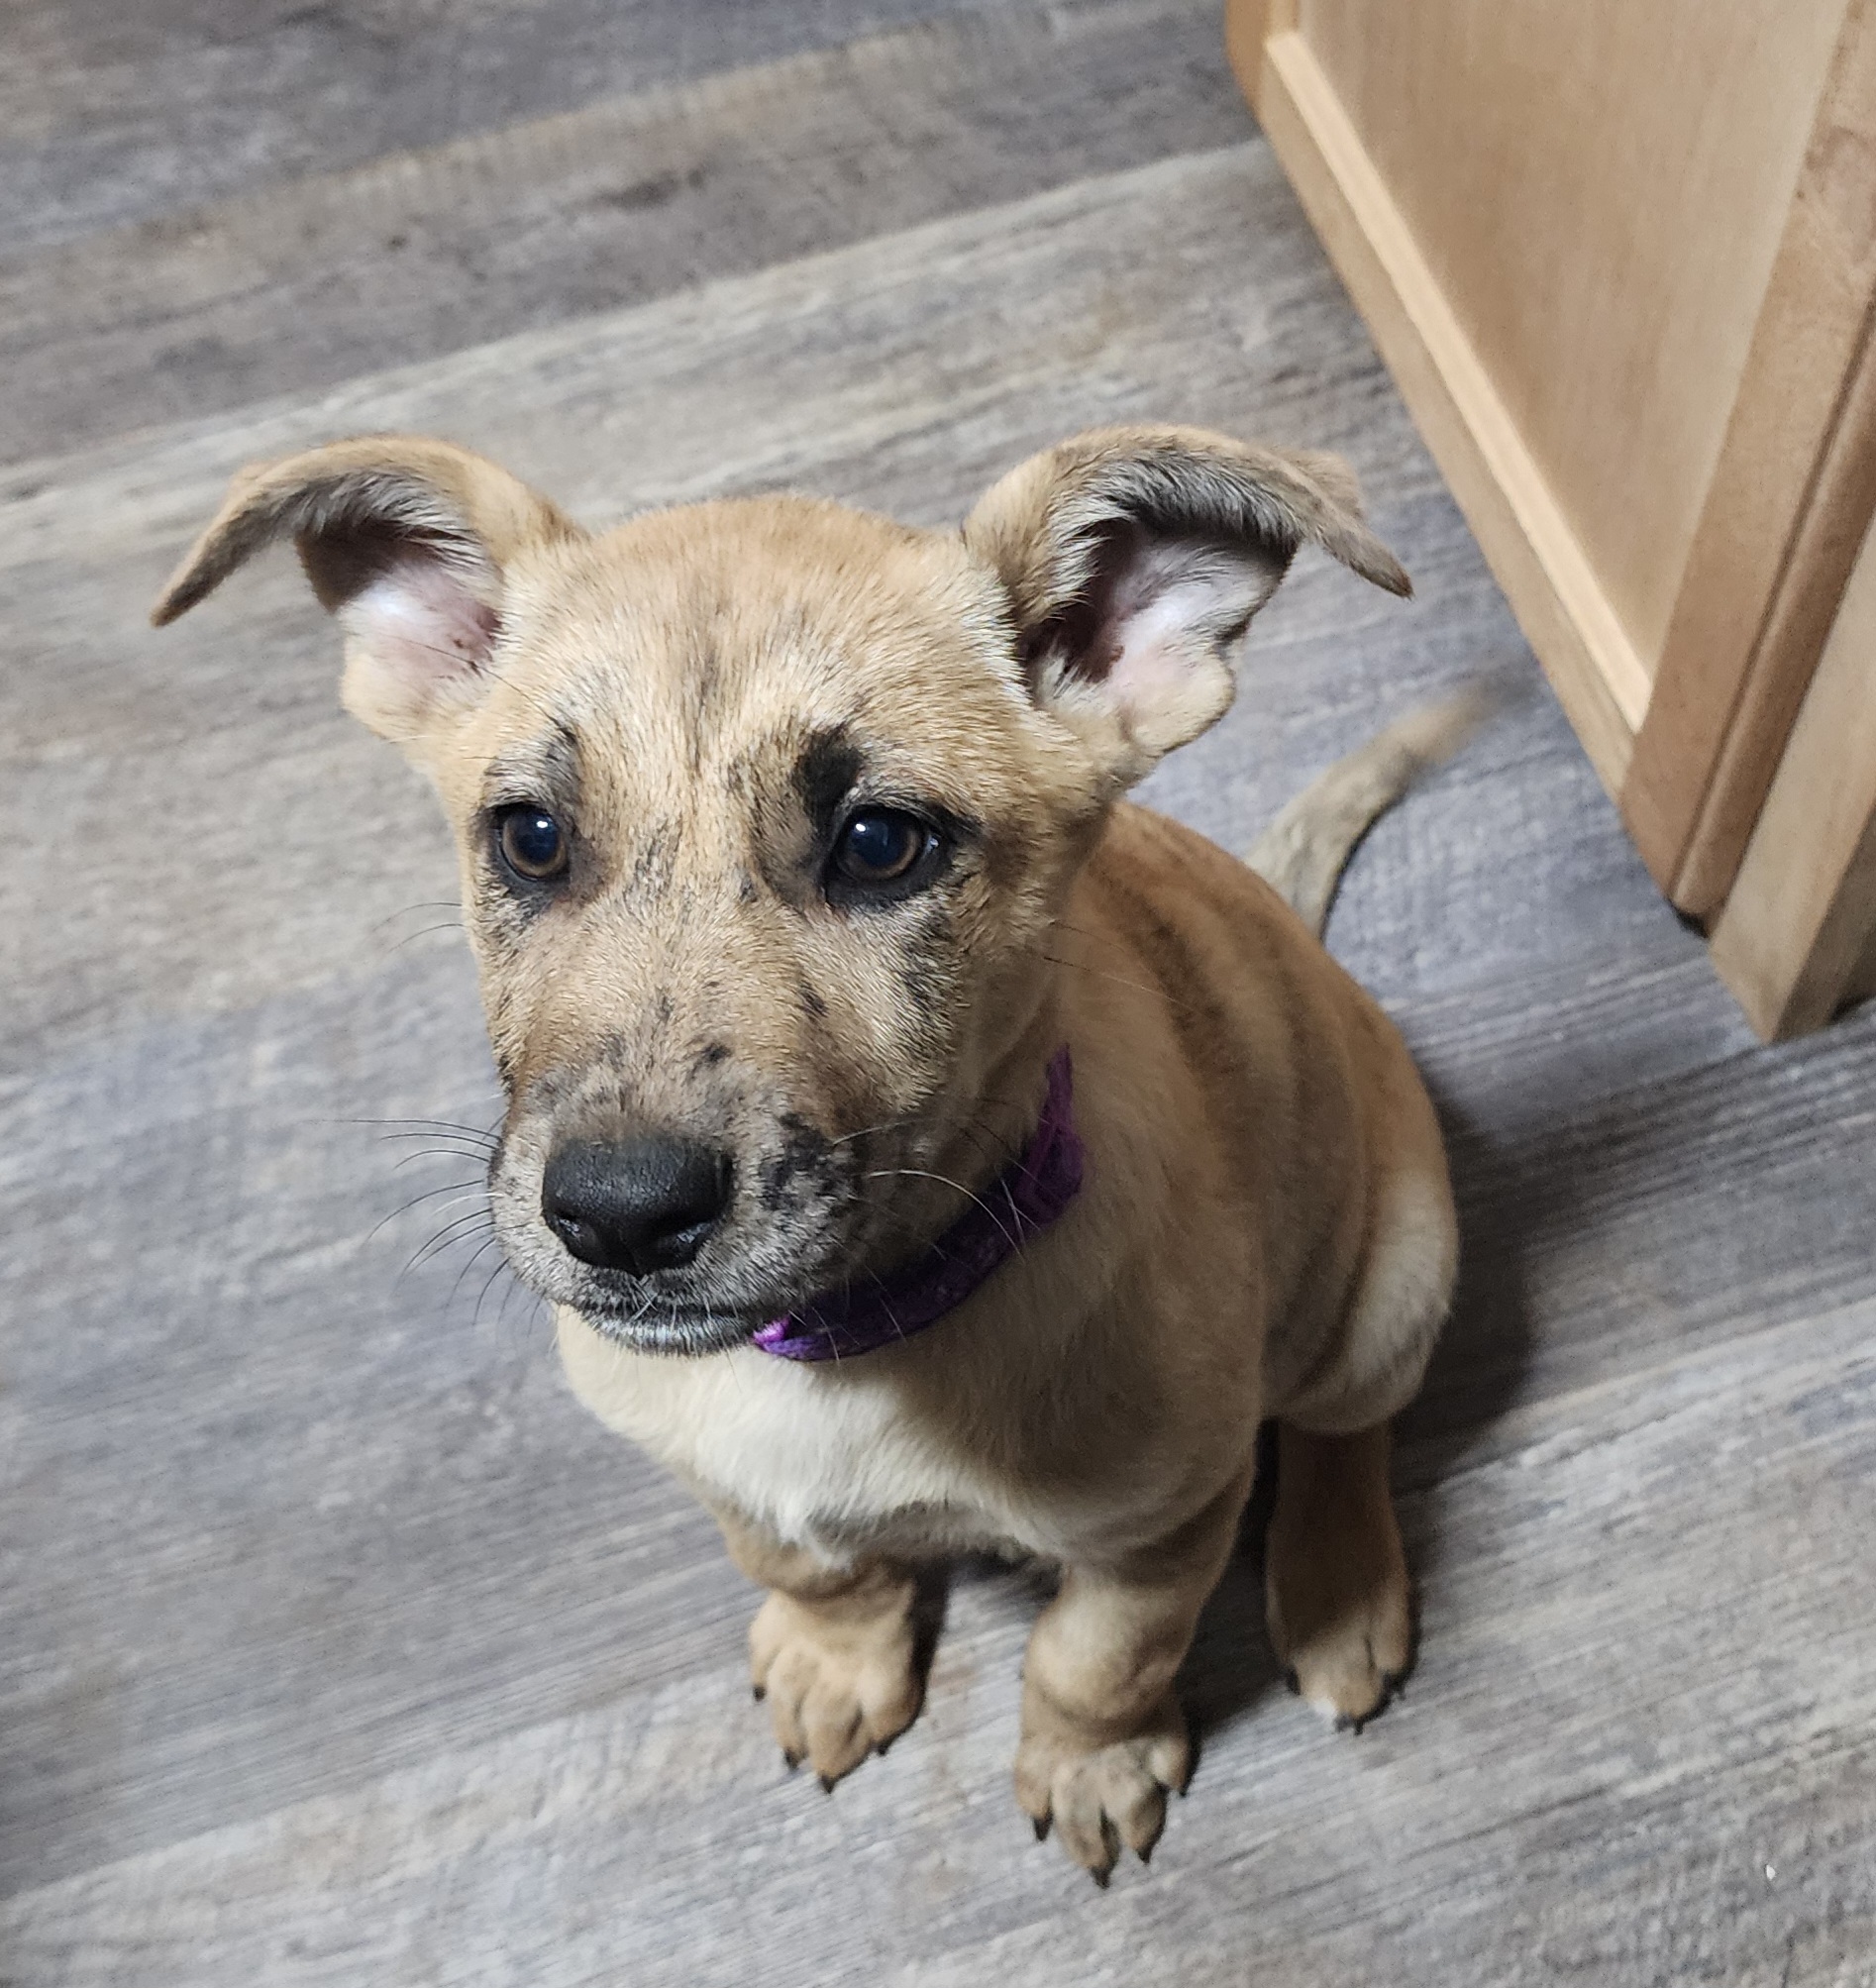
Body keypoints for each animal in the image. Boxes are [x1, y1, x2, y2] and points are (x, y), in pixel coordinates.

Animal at [150, 423, 1462, 1876]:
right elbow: (808, 1563)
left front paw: (1090, 1761)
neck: (846, 1348)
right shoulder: (714, 1466)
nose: (619, 1216)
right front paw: (840, 1660)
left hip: (1391, 1280)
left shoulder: (1162, 1523)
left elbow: (1093, 1659)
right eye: (531, 837)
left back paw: (1339, 1592)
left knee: (1347, 1426)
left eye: (881, 844)